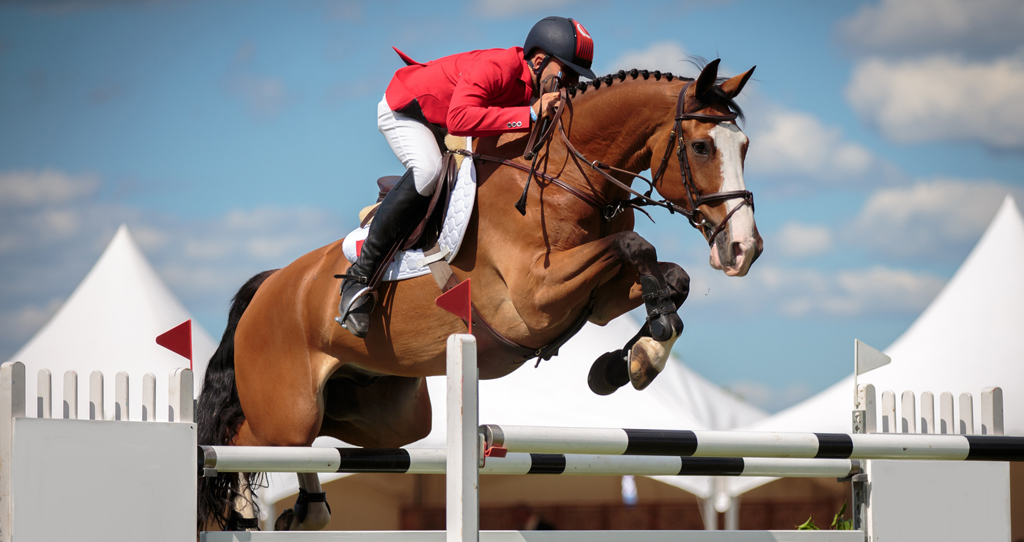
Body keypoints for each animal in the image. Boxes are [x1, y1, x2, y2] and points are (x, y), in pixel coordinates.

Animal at [196, 59, 762, 531]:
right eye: (702, 147)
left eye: (746, 147)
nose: (744, 249)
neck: (565, 179)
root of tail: (271, 284)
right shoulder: (536, 299)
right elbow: (637, 245)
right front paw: (638, 353)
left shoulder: (597, 302)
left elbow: (671, 278)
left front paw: (630, 361)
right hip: (285, 411)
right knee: (231, 443)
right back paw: (240, 507)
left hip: (384, 416)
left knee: (314, 441)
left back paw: (306, 510)